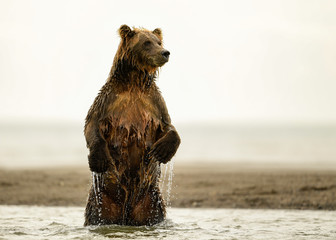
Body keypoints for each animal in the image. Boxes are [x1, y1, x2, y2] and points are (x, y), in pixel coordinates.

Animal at [83, 25, 181, 226]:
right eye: (146, 42)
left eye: (159, 42)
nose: (165, 53)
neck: (134, 82)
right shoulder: (108, 101)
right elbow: (92, 124)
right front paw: (99, 159)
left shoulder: (153, 103)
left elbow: (168, 126)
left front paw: (162, 151)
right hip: (102, 199)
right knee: (96, 215)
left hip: (151, 200)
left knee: (154, 214)